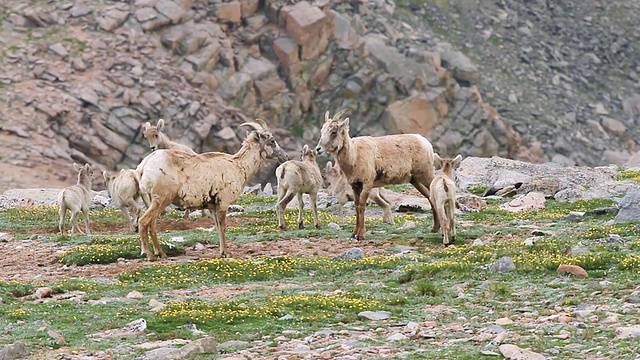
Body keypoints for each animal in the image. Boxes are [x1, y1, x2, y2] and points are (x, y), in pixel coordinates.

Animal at [137, 119, 288, 260]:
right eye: (272, 141)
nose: (285, 156)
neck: (239, 165)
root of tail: (143, 167)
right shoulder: (223, 202)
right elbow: (222, 226)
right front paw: (226, 253)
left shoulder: (212, 206)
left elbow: (217, 226)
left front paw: (222, 252)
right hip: (161, 199)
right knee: (144, 221)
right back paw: (149, 254)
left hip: (154, 200)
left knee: (152, 224)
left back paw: (161, 253)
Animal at [316, 109, 440, 239]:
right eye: (322, 130)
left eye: (334, 132)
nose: (318, 149)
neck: (354, 155)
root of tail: (426, 143)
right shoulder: (355, 186)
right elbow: (356, 206)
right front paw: (354, 233)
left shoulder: (367, 184)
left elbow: (361, 206)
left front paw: (360, 235)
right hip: (415, 180)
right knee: (430, 197)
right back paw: (435, 228)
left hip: (427, 175)